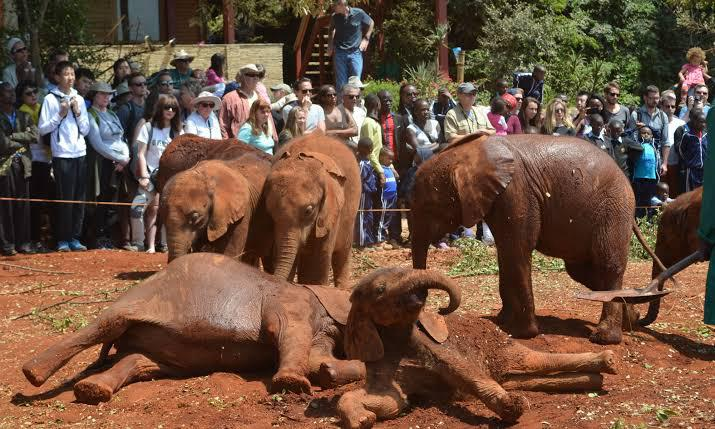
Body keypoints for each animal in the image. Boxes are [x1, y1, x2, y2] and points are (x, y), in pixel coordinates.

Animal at [23, 254, 617, 425]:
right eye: (380, 289)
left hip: (168, 352)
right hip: (143, 297)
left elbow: (328, 359)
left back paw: (94, 392)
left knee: (140, 360)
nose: (443, 303)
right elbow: (301, 342)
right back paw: (33, 374)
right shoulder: (295, 304)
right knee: (104, 327)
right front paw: (294, 384)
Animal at [410, 134, 661, 345]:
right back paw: (632, 319)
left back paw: (604, 338)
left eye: (429, 207)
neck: (471, 153)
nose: (438, 311)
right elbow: (505, 253)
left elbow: (517, 250)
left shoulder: (516, 192)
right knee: (585, 272)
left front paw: (522, 333)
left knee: (607, 267)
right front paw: (502, 322)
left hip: (613, 210)